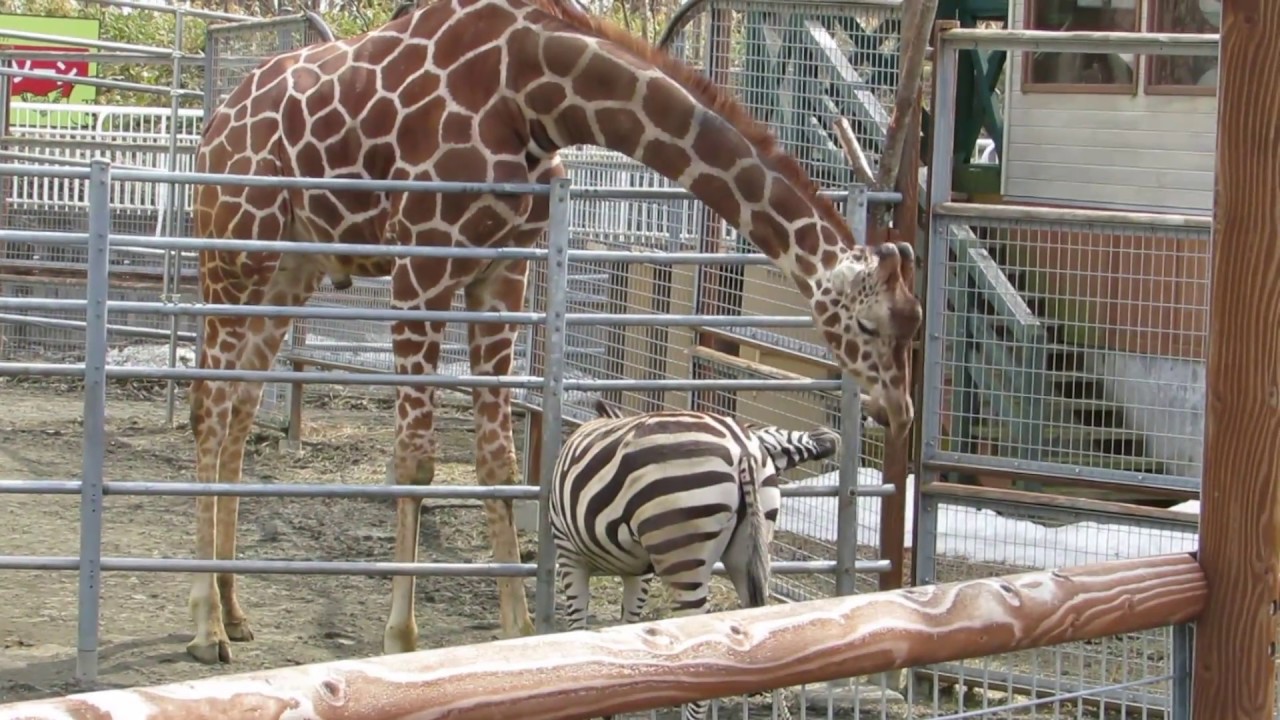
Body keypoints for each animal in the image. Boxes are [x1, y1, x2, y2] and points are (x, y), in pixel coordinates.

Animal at [187, 0, 922, 665]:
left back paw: (235, 610)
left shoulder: (502, 270)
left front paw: (516, 629)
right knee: (209, 412)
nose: (900, 412)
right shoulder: (422, 263)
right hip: (233, 251)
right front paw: (400, 637)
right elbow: (416, 459)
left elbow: (498, 458)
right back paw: (206, 628)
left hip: (290, 267)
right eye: (867, 323)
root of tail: (214, 125)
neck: (533, 92)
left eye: (915, 326)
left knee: (239, 409)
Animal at [549, 399, 840, 720]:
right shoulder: (638, 572)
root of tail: (742, 448)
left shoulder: (569, 554)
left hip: (682, 556)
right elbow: (626, 632)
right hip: (748, 553)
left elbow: (578, 629)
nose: (830, 439)